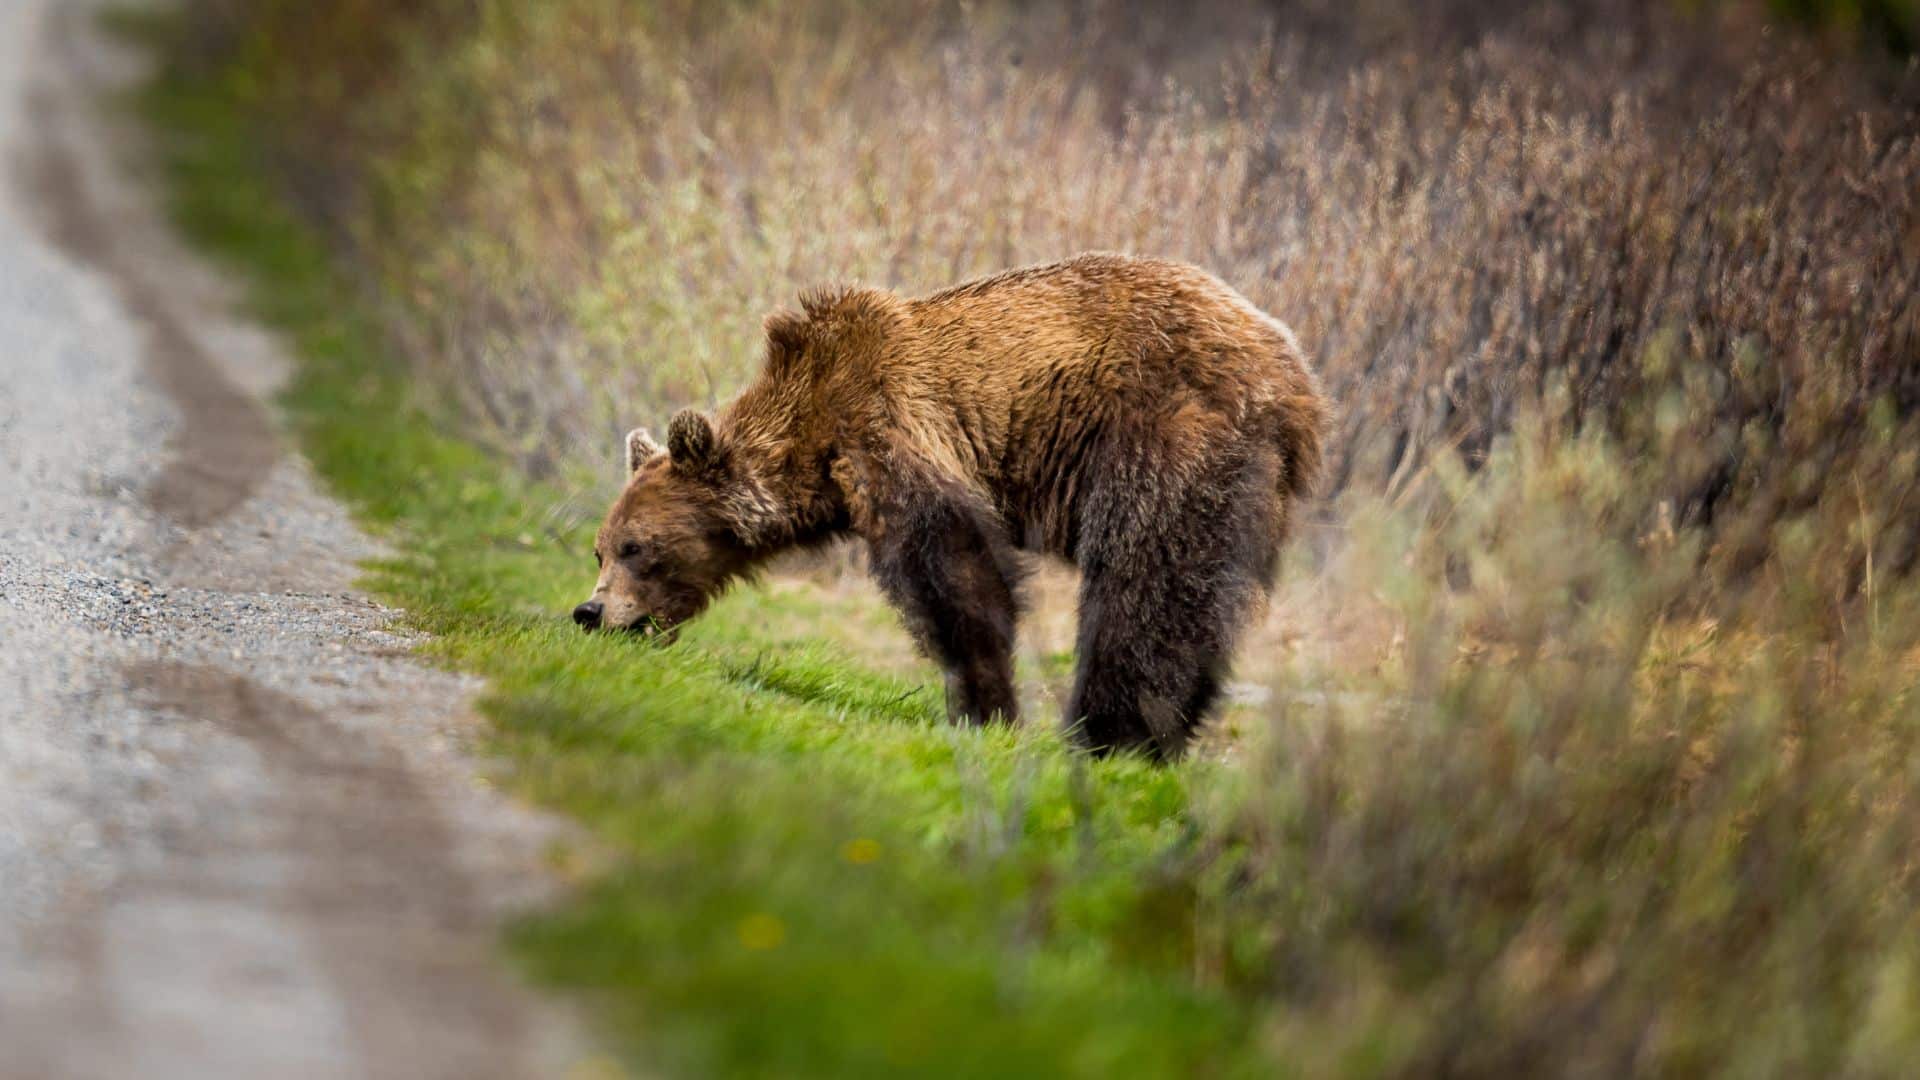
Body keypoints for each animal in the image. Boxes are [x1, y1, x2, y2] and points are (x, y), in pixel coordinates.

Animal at [575, 252, 1326, 759]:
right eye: (600, 549)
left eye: (637, 548)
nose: (590, 612)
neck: (809, 430)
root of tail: (1297, 379)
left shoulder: (890, 424)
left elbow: (951, 565)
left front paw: (984, 707)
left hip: (1168, 432)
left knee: (1150, 582)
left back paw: (1113, 733)